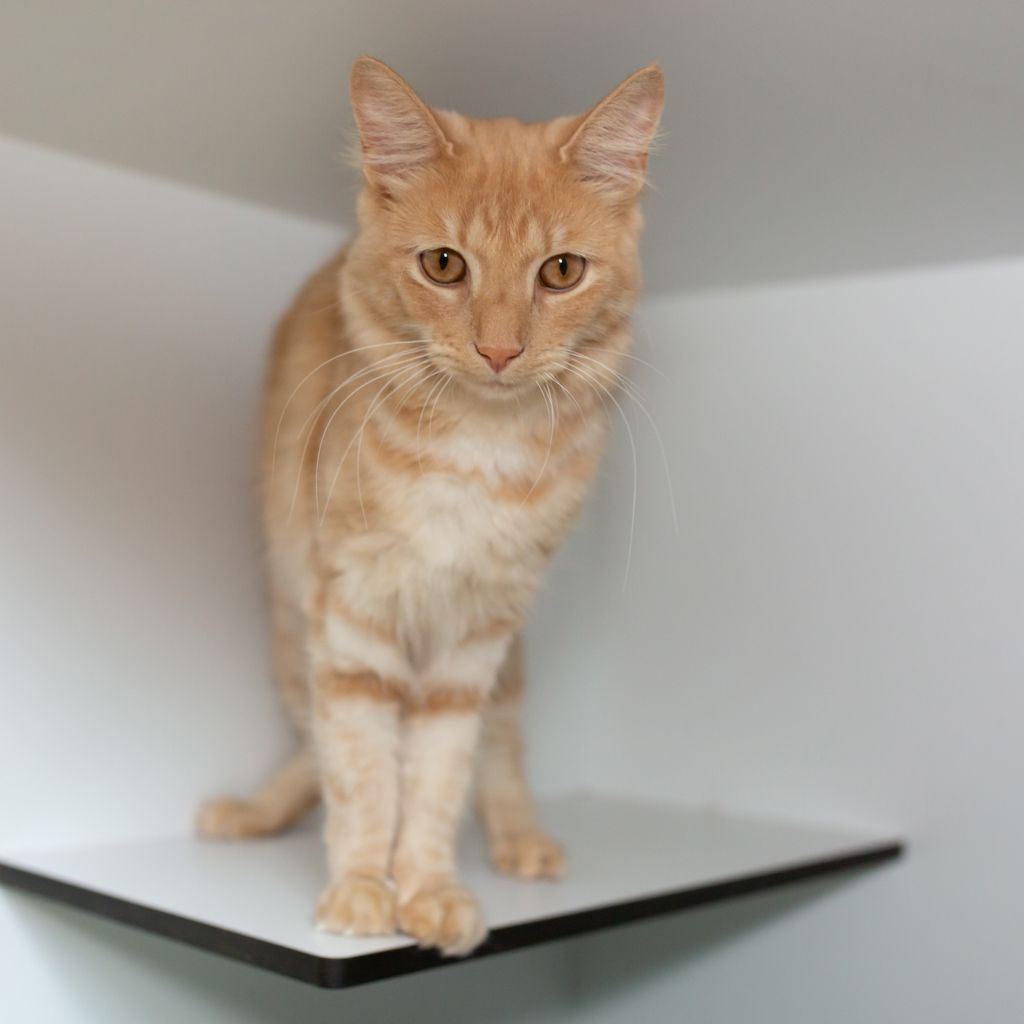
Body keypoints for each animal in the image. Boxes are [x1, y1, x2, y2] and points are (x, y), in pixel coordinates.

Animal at [198, 56, 664, 957]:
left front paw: (428, 890)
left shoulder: (473, 639)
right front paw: (359, 888)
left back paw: (522, 839)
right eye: (445, 265)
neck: (476, 452)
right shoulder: (351, 618)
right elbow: (361, 771)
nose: (499, 349)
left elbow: (441, 778)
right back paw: (255, 812)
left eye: (561, 271)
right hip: (291, 623)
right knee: (313, 745)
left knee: (502, 748)